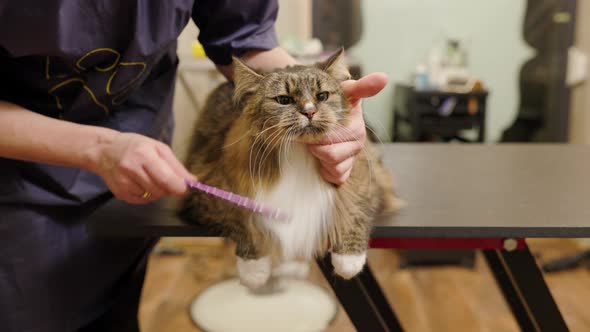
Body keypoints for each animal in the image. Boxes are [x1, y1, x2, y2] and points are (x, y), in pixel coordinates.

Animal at [180, 48, 402, 290]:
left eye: (322, 96)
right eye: (284, 100)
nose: (309, 112)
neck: (298, 151)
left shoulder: (362, 176)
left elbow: (354, 209)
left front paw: (349, 261)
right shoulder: (207, 190)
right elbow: (241, 220)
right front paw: (253, 270)